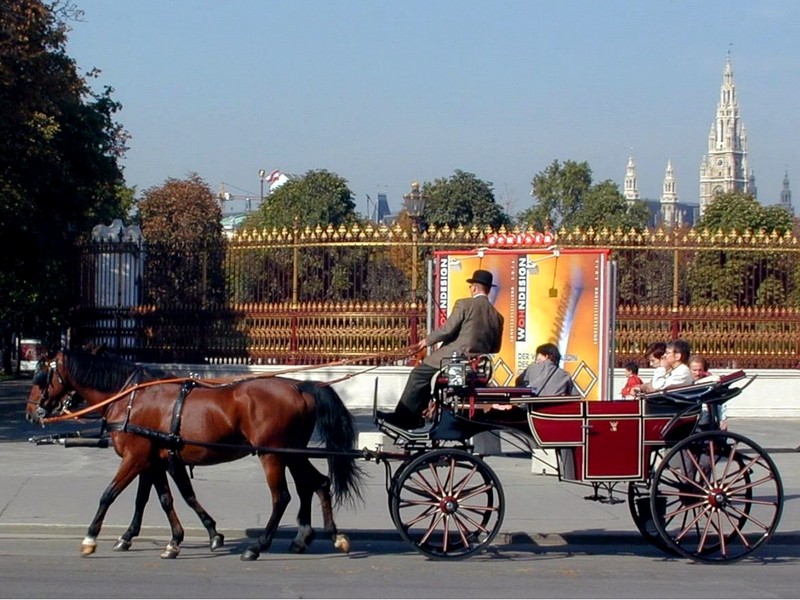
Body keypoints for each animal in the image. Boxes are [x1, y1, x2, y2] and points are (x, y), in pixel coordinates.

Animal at [25, 350, 362, 560]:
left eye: (40, 377)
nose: (30, 412)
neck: (132, 397)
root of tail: (302, 386)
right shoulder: (154, 460)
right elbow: (160, 499)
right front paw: (169, 539)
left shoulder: (136, 458)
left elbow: (110, 494)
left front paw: (91, 538)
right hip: (291, 453)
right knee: (316, 483)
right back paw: (321, 536)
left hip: (272, 455)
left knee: (283, 497)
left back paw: (258, 546)